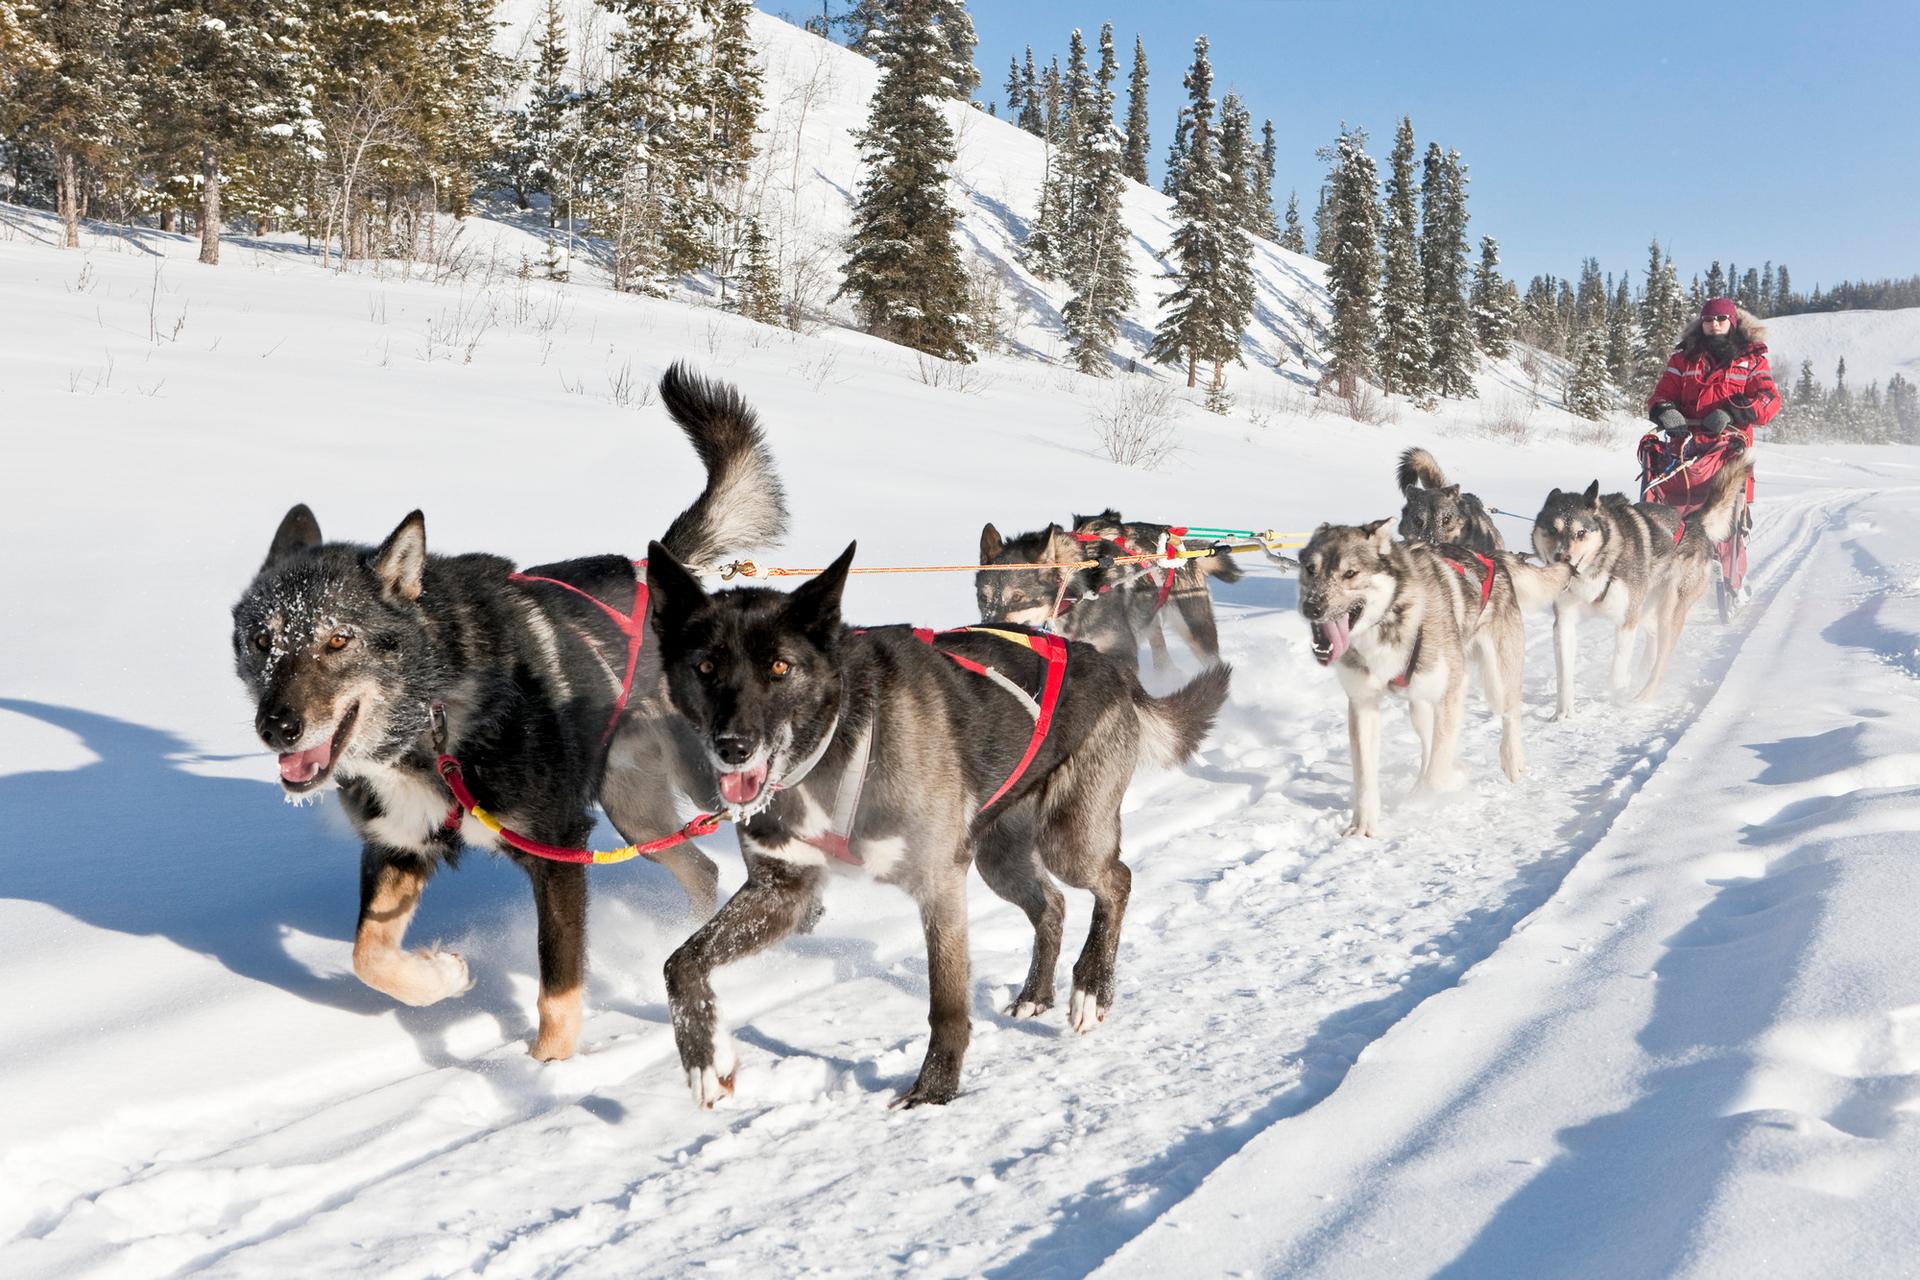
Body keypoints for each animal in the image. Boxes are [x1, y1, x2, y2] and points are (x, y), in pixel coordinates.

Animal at [230, 362, 787, 1059]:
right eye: (262, 641)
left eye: (338, 640)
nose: (277, 727)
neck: (435, 719)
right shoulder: (400, 842)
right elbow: (369, 955)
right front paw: (443, 976)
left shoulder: (557, 850)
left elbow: (557, 986)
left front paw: (551, 1067)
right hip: (638, 814)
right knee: (702, 870)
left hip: (711, 776)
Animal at [637, 541, 1221, 1113]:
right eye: (705, 666)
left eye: (780, 667)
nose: (733, 747)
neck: (832, 745)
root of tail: (1109, 666)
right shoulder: (782, 891)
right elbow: (679, 963)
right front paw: (706, 1059)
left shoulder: (938, 881)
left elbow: (946, 1002)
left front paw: (937, 1088)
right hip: (998, 858)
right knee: (1052, 905)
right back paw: (1036, 994)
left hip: (1067, 839)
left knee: (1116, 882)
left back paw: (1093, 987)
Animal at [1297, 521, 1566, 840]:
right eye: (1310, 569)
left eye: (1350, 573)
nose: (1311, 606)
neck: (1392, 620)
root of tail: (1493, 558)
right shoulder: (1363, 703)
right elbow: (1365, 776)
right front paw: (1363, 824)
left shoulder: (1452, 689)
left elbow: (1437, 774)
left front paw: (1433, 791)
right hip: (1420, 704)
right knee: (1429, 742)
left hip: (1495, 680)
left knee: (1509, 713)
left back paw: (1512, 760)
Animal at [1528, 454, 1758, 721]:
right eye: (1552, 530)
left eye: (1581, 532)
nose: (1561, 557)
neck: (1597, 565)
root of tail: (1691, 521)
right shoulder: (1565, 623)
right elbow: (1564, 675)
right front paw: (1564, 712)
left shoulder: (1626, 622)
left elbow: (1617, 671)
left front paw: (1617, 693)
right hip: (1647, 608)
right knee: (1654, 639)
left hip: (1669, 609)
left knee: (1663, 658)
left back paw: (1644, 695)